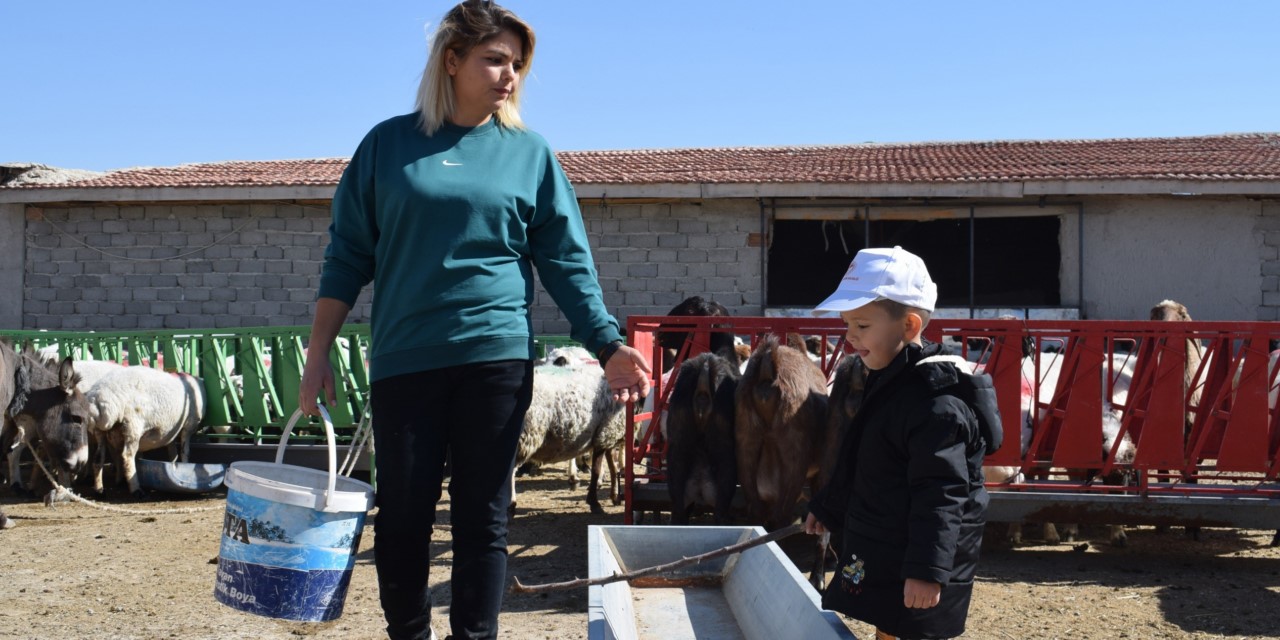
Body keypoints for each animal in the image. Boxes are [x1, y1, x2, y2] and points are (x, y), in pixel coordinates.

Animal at [86, 366, 206, 494]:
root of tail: (97, 400)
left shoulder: (171, 430)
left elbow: (172, 449)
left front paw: (173, 462)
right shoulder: (189, 425)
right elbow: (185, 451)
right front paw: (185, 465)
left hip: (100, 431)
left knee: (98, 458)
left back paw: (100, 489)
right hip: (132, 426)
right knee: (127, 456)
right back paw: (136, 489)